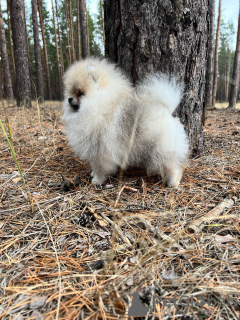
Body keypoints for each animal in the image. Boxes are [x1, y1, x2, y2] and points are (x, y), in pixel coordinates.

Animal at [62, 58, 189, 186]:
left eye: (80, 94)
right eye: (71, 92)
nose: (69, 99)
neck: (100, 103)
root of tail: (167, 110)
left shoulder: (100, 149)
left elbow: (100, 167)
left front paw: (97, 180)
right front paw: (93, 174)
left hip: (162, 149)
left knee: (171, 166)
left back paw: (173, 182)